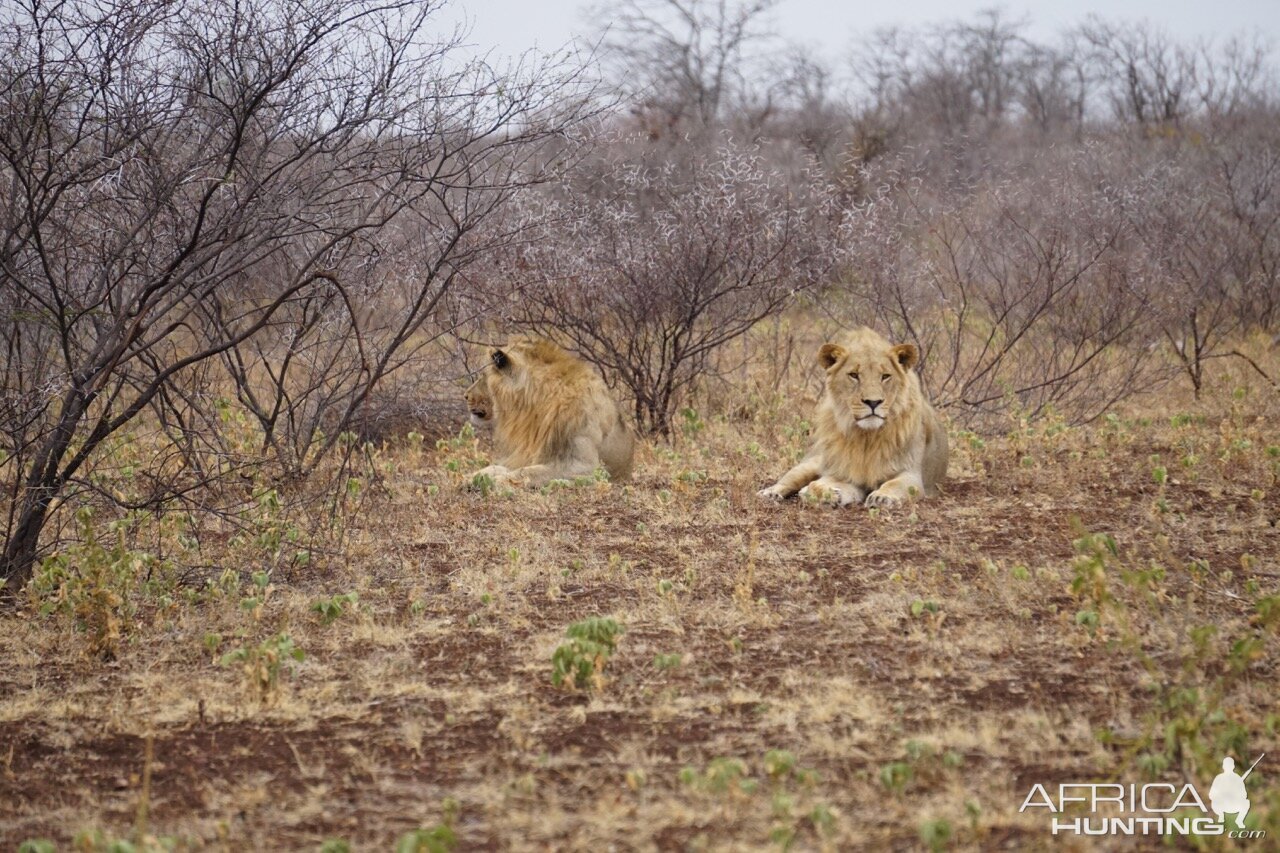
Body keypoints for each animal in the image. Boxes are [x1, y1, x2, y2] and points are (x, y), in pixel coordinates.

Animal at [465, 335, 634, 489]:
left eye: (483, 376)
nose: (466, 395)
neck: (533, 409)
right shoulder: (528, 453)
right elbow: (497, 467)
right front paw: (473, 476)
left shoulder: (585, 467)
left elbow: (527, 472)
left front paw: (497, 481)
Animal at [752, 322, 947, 502]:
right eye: (854, 375)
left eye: (885, 376)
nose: (873, 402)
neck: (867, 437)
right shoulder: (846, 474)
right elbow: (816, 484)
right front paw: (823, 493)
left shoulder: (912, 475)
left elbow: (894, 484)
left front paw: (882, 497)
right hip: (812, 463)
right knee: (788, 480)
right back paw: (770, 493)